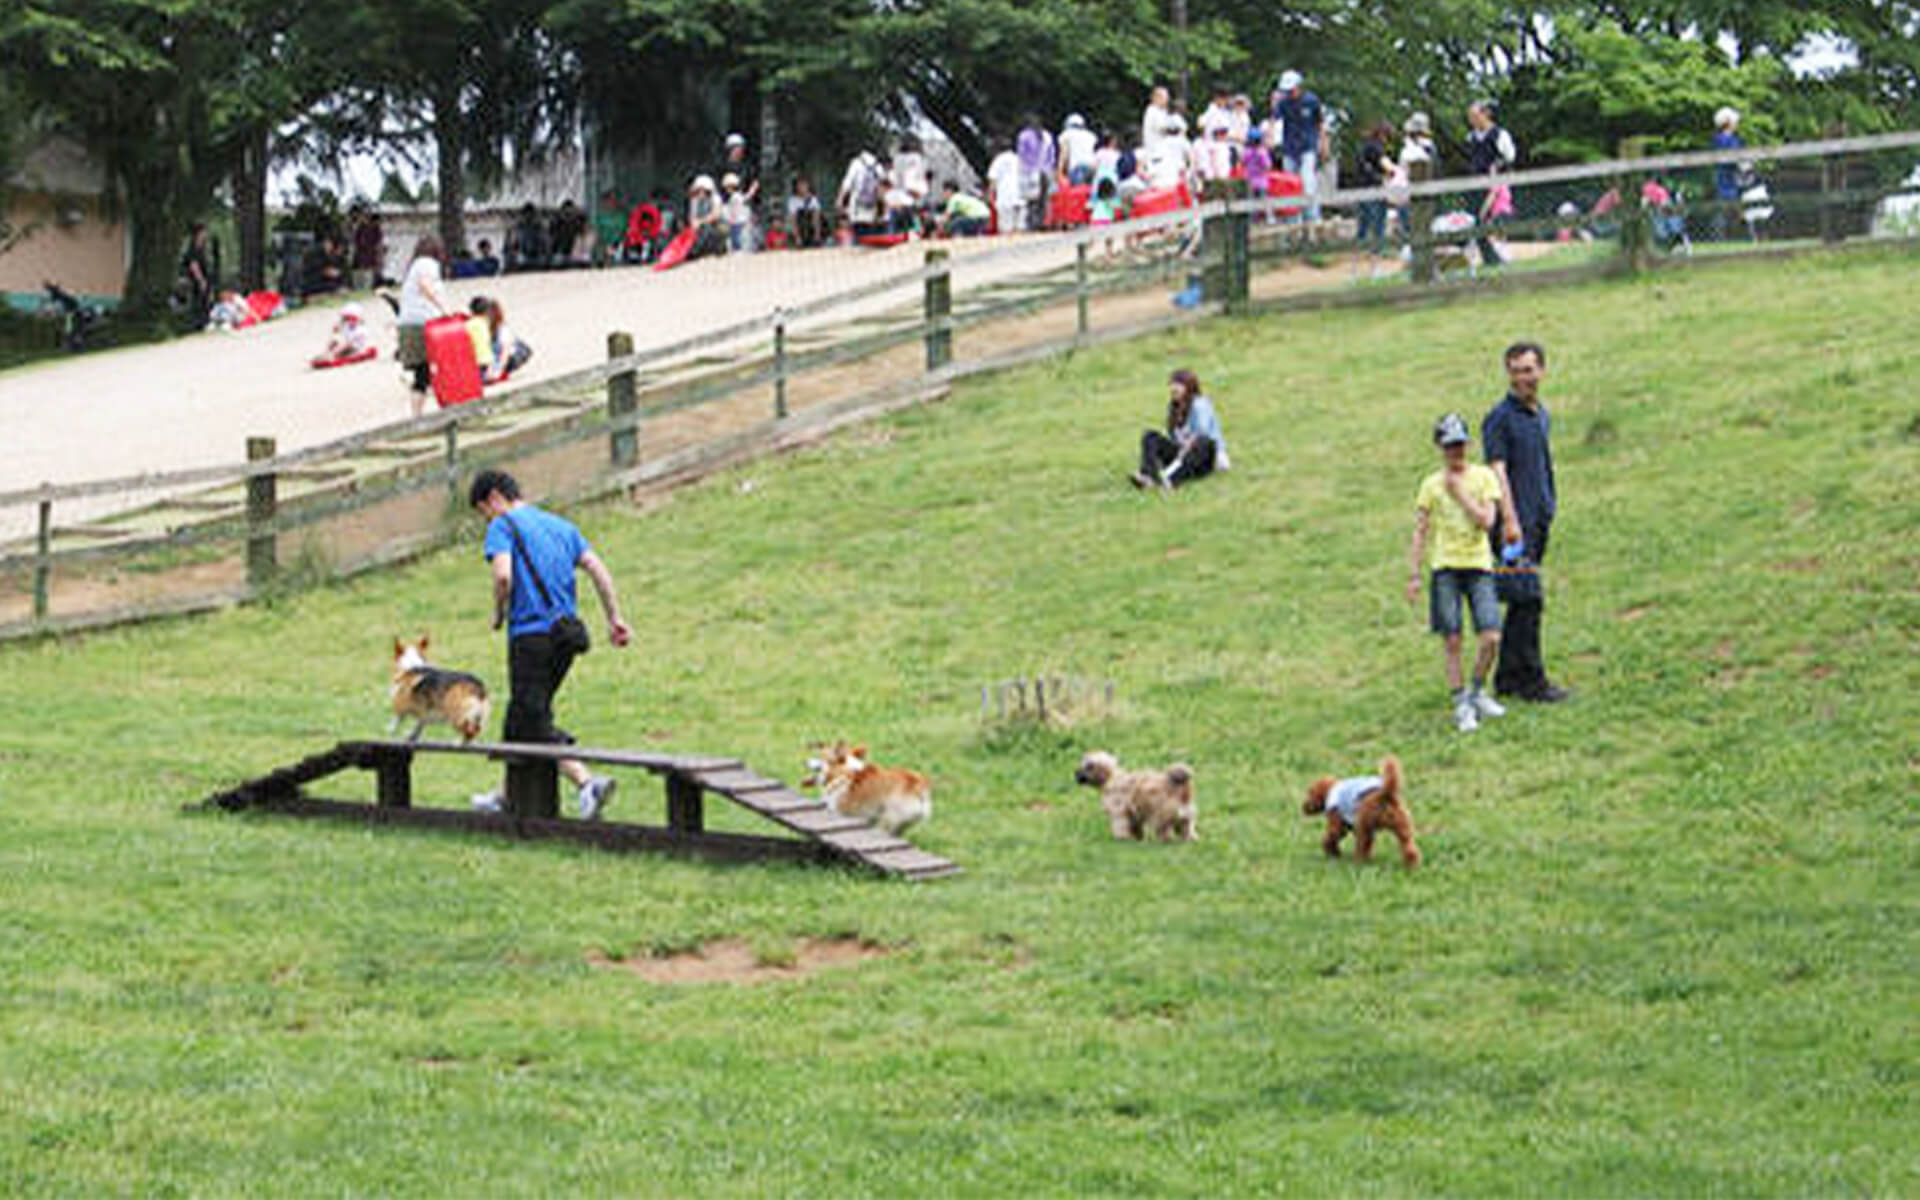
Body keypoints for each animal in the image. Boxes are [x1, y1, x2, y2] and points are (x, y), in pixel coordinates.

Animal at [798, 741, 933, 833]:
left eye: (819, 756)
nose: (804, 761)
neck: (843, 772)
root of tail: (917, 785)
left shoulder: (838, 811)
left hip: (887, 820)